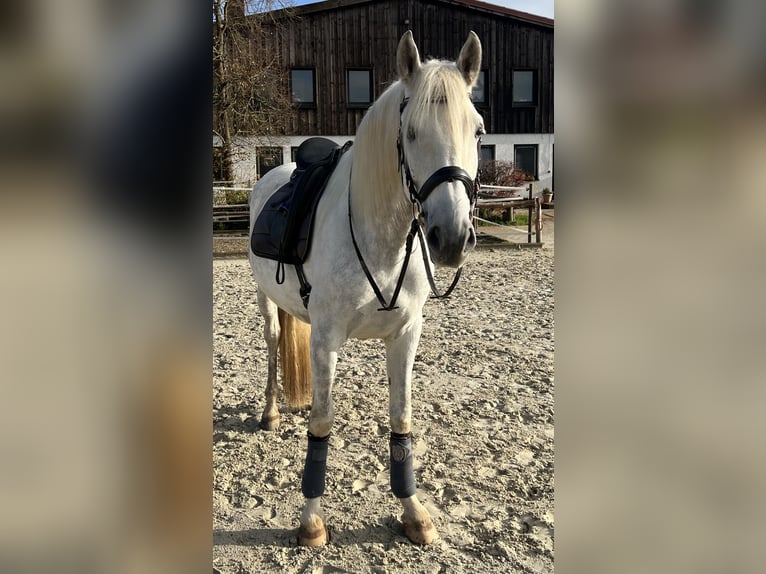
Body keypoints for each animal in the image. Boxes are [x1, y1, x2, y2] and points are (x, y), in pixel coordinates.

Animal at [249, 31, 484, 548]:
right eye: (410, 132)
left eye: (478, 131)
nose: (452, 238)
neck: (382, 241)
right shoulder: (326, 338)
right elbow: (321, 422)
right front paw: (311, 522)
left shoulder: (405, 336)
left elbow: (401, 420)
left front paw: (414, 514)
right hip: (266, 302)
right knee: (274, 347)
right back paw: (271, 413)